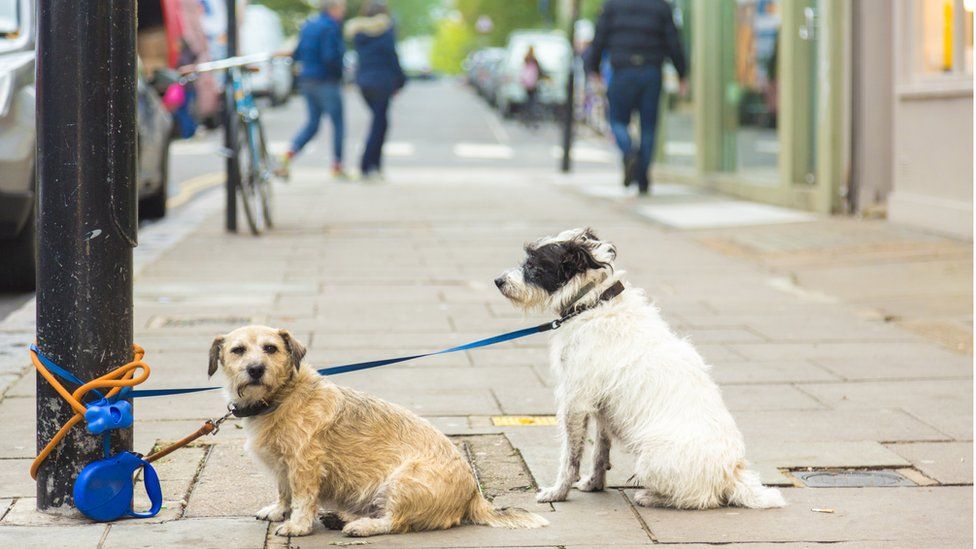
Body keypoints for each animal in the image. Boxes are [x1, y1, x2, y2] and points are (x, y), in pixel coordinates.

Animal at [207, 326, 548, 536]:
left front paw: (297, 525)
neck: (281, 397)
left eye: (271, 348)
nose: (255, 369)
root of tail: (475, 495)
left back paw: (361, 527)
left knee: (396, 521)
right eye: (238, 350)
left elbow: (302, 498)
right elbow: (283, 491)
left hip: (402, 481)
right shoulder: (282, 466)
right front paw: (279, 511)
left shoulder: (305, 465)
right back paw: (342, 517)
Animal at [496, 228, 784, 510]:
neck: (593, 302)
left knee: (701, 499)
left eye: (533, 265)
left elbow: (570, 457)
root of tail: (731, 474)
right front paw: (594, 484)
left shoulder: (575, 402)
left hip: (651, 457)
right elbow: (600, 450)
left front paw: (558, 492)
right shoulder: (601, 406)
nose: (498, 281)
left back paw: (650, 496)